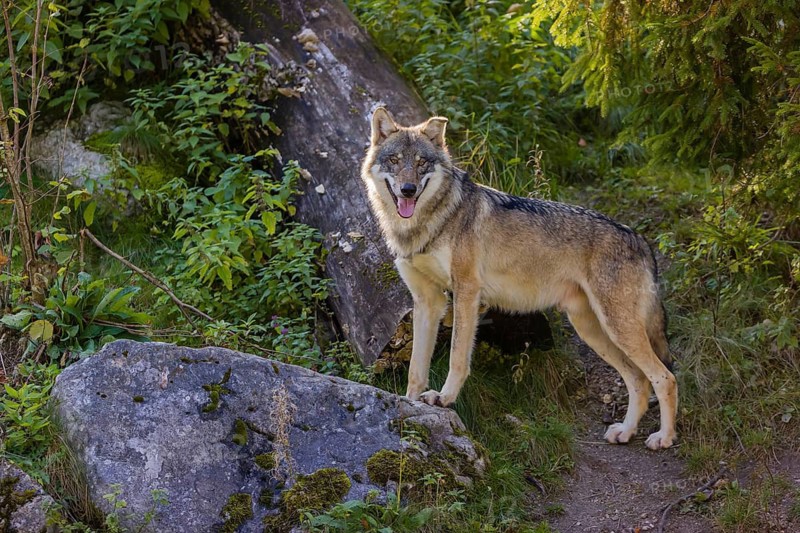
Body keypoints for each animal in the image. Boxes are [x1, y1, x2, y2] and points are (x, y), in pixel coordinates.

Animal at [360, 107, 677, 449]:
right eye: (395, 161)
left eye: (421, 163)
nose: (408, 190)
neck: (427, 224)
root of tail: (640, 239)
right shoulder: (427, 302)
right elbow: (416, 368)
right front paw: (409, 404)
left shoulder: (466, 292)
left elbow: (457, 356)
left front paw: (444, 399)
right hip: (592, 329)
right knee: (638, 379)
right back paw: (626, 432)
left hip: (617, 327)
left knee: (664, 377)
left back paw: (664, 438)